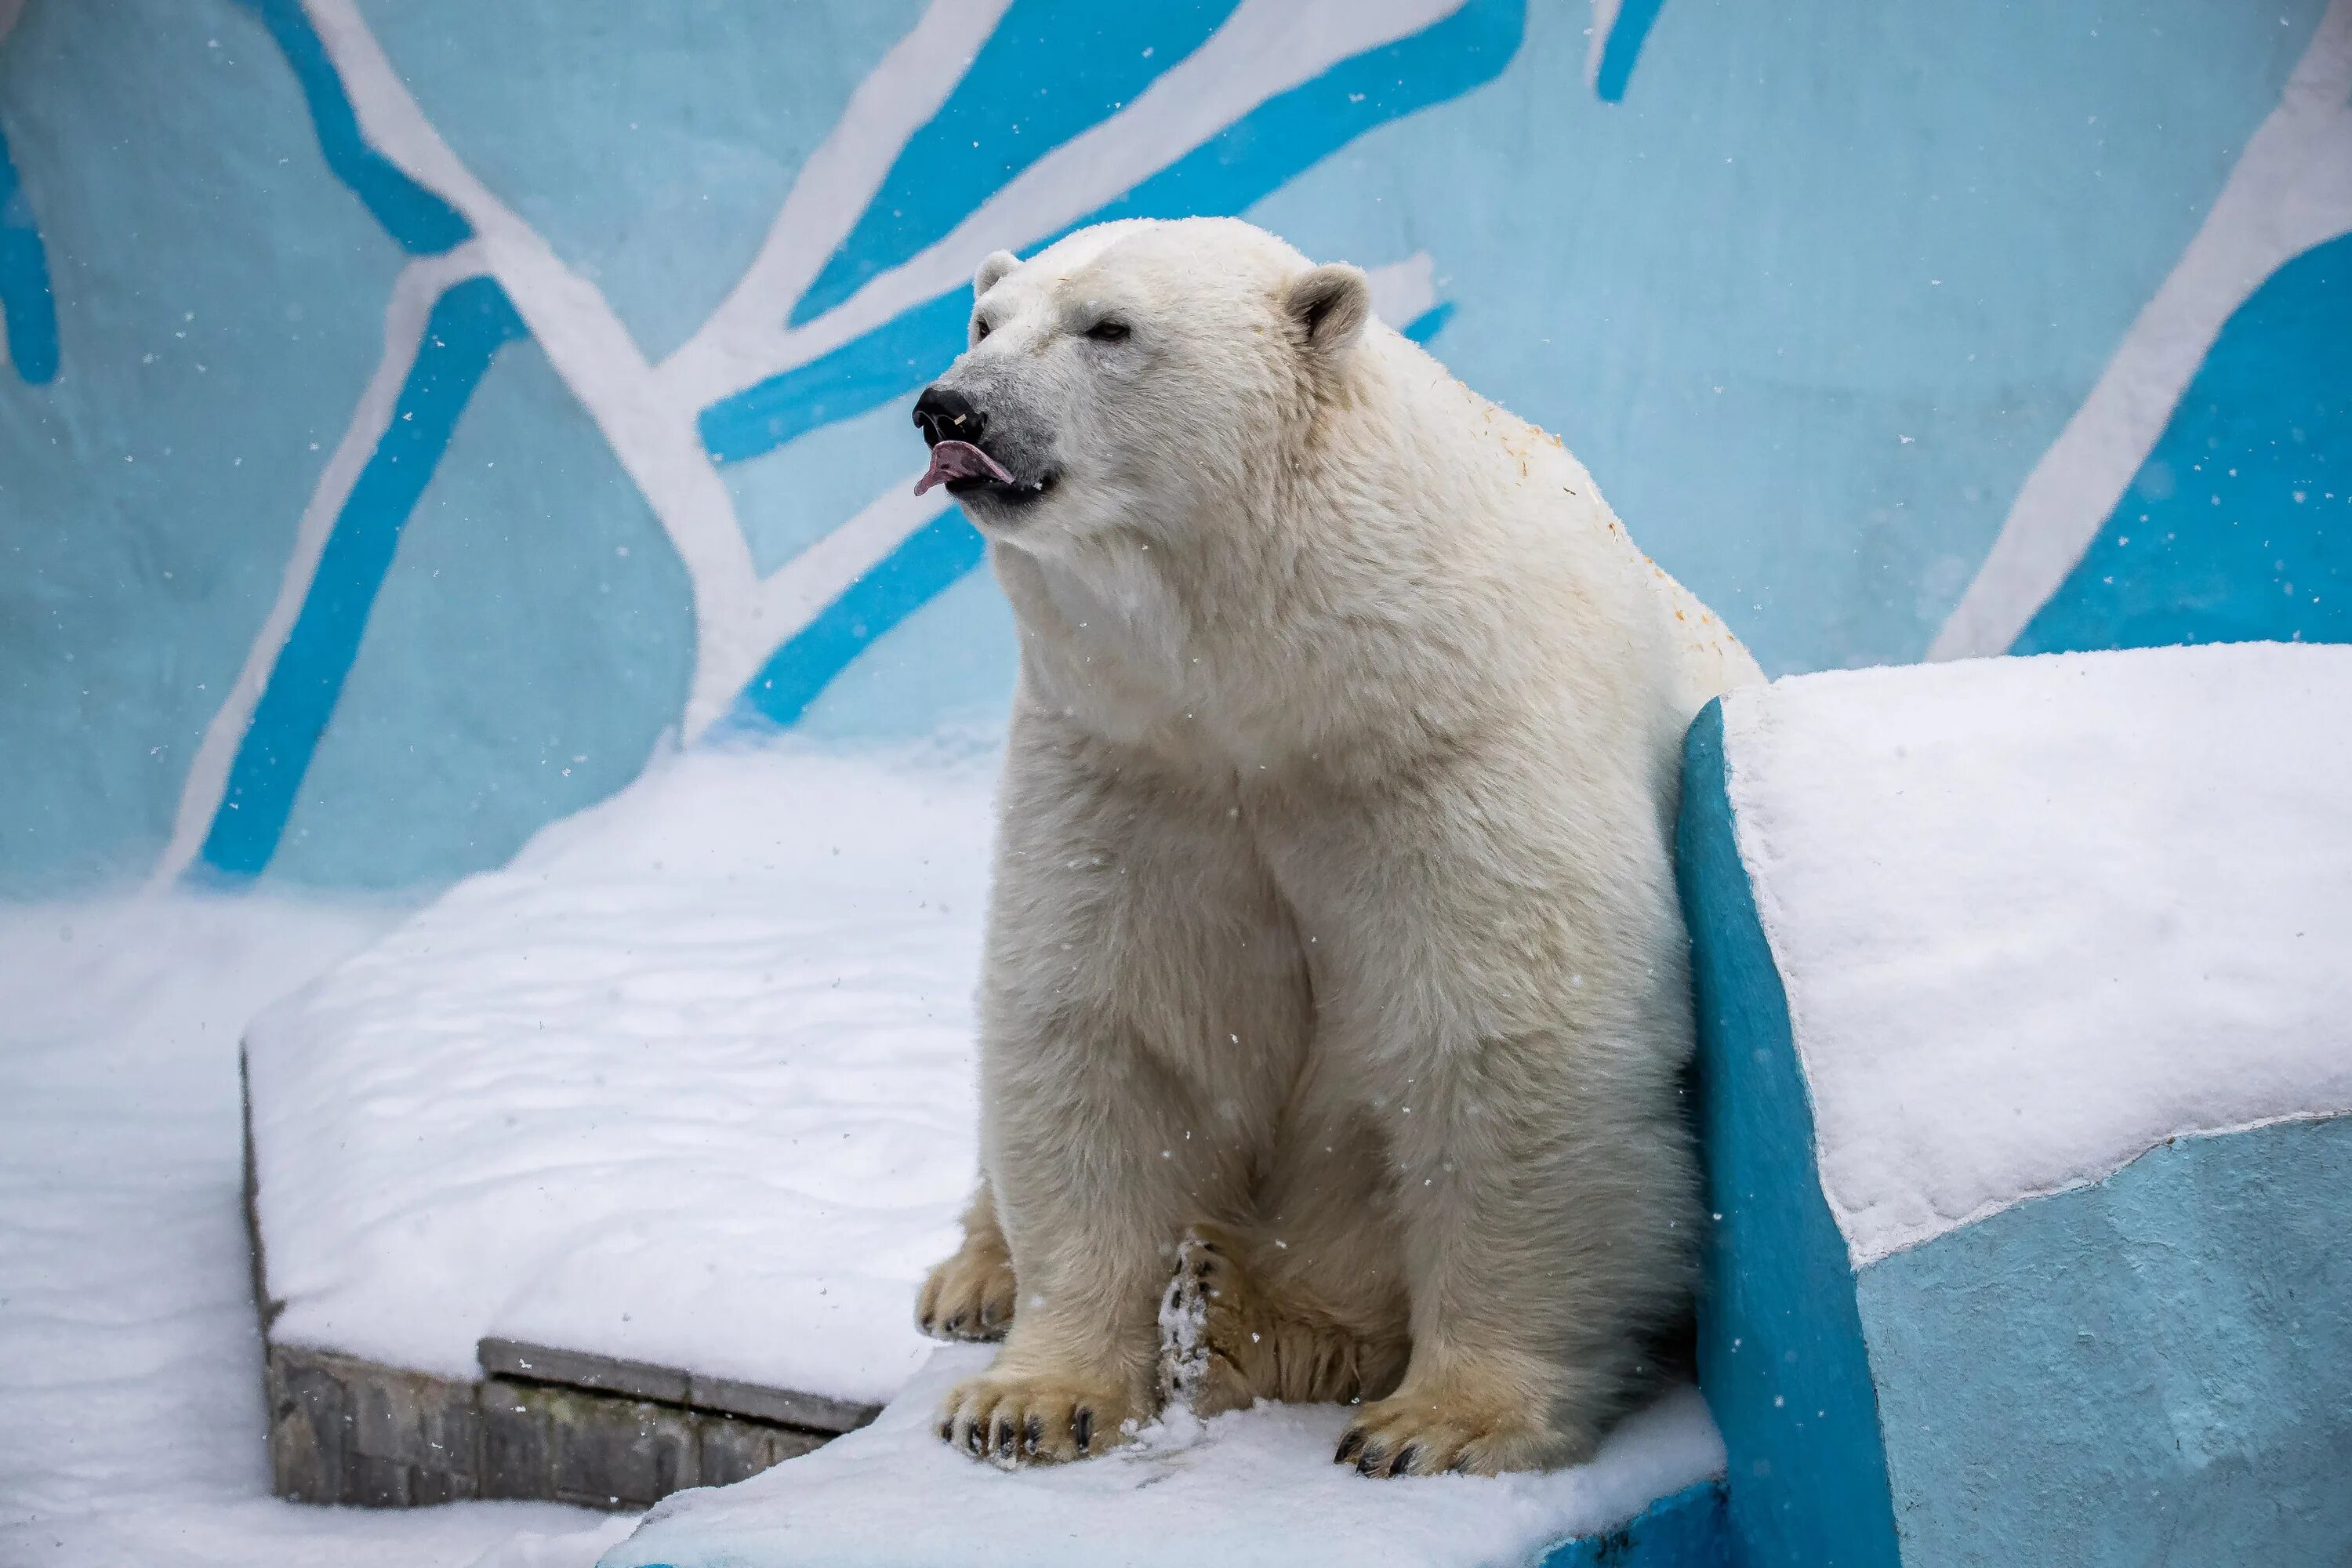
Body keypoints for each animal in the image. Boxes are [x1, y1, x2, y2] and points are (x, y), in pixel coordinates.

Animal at [908, 215, 1759, 1476]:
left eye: (1110, 327)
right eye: (982, 321)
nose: (950, 408)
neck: (1296, 674)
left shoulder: (1458, 745)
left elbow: (1514, 1047)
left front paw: (1442, 1422)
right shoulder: (1131, 767)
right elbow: (1104, 1027)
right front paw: (1032, 1400)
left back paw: (1241, 1311)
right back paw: (980, 1277)